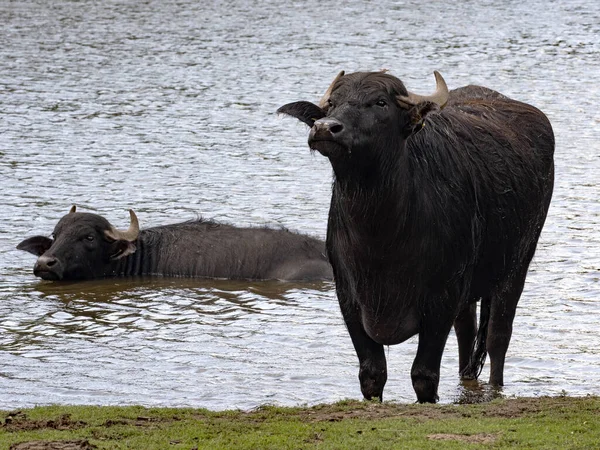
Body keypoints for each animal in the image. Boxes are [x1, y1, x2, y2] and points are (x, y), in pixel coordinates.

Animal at [278, 71, 556, 404]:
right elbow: (372, 374)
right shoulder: (348, 297)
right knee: (466, 332)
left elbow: (424, 375)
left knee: (497, 337)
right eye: (332, 103)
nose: (325, 128)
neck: (381, 237)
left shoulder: (441, 300)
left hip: (517, 265)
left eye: (380, 102)